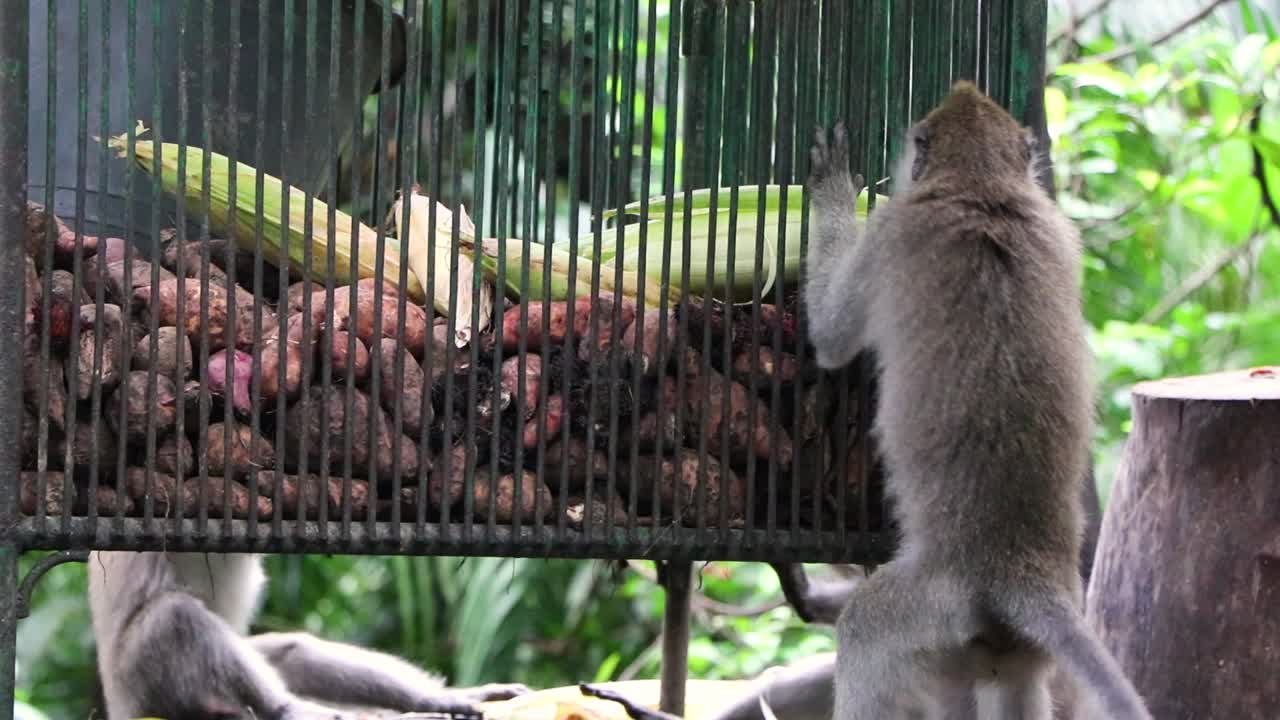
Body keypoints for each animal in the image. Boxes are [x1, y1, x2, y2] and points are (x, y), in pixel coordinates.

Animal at [88, 550, 530, 720]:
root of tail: (117, 705)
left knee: (294, 651)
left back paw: (435, 699)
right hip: (143, 685)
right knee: (174, 616)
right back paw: (287, 709)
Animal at [797, 81, 1151, 720]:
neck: (982, 185)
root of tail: (1021, 571)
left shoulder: (891, 229)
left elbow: (832, 337)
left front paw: (832, 183)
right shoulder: (1060, 227)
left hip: (931, 606)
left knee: (864, 628)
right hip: (1016, 643)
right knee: (1015, 682)